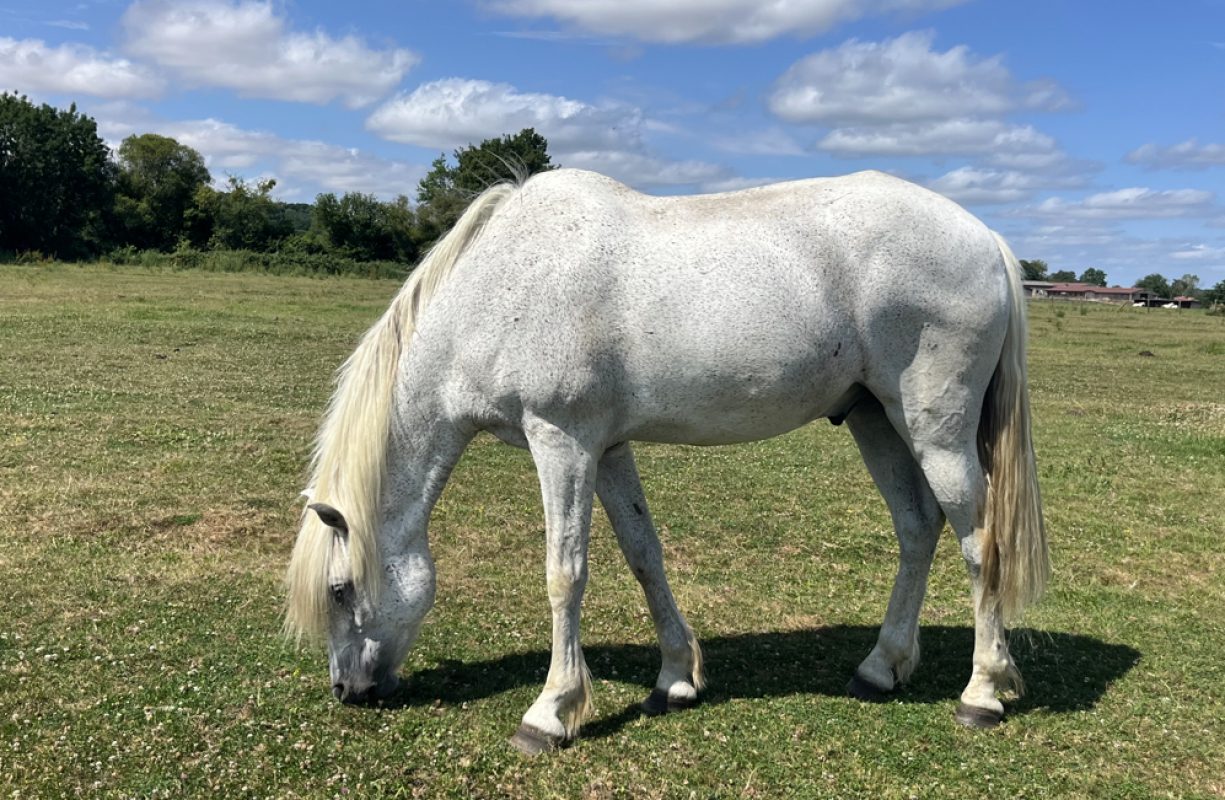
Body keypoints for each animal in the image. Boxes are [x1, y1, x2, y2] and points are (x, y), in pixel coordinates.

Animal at [285, 168, 1049, 754]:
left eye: (339, 590)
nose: (347, 690)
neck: (503, 287)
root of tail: (985, 239)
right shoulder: (607, 449)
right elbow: (642, 554)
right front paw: (675, 678)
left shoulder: (560, 442)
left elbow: (564, 575)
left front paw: (550, 712)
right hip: (875, 420)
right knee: (917, 529)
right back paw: (881, 668)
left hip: (935, 430)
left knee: (980, 543)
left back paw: (982, 691)